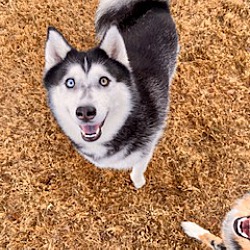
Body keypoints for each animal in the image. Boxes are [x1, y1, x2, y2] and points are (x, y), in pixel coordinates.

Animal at [44, 0, 179, 188]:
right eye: (70, 82)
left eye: (104, 80)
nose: (85, 112)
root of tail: (156, 5)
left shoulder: (147, 147)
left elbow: (138, 167)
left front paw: (138, 182)